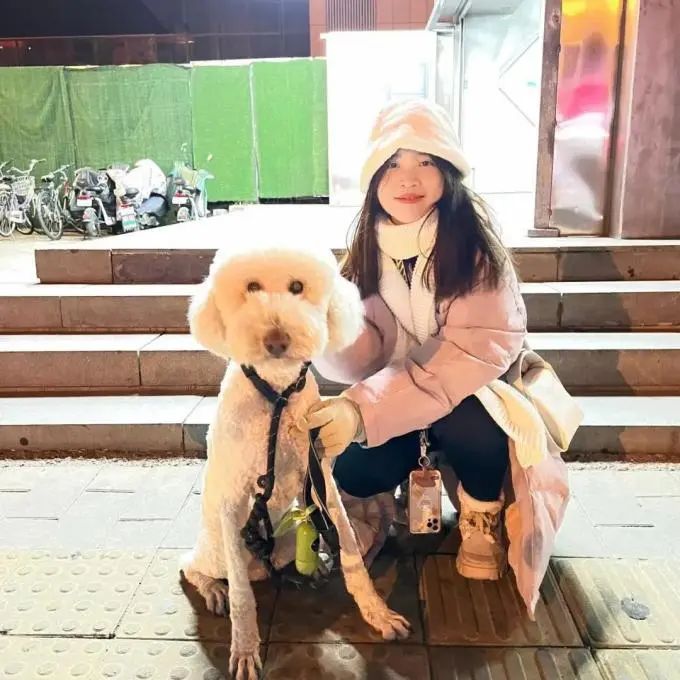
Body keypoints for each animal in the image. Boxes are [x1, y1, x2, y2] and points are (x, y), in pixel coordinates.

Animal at [180, 243, 411, 680]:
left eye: (297, 287)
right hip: (219, 546)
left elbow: (350, 550)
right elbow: (242, 598)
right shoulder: (234, 499)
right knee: (195, 567)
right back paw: (213, 587)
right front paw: (246, 647)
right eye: (251, 287)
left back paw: (312, 567)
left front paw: (376, 612)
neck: (277, 394)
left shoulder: (321, 477)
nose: (276, 340)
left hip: (285, 544)